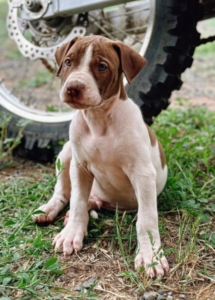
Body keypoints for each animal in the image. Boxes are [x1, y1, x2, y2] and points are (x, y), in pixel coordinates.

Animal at [34, 35, 170, 278]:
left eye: (102, 67)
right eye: (68, 62)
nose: (73, 87)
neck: (99, 120)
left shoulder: (143, 173)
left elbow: (147, 219)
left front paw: (150, 256)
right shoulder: (79, 167)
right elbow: (77, 201)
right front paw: (72, 233)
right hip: (66, 153)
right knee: (64, 193)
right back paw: (51, 210)